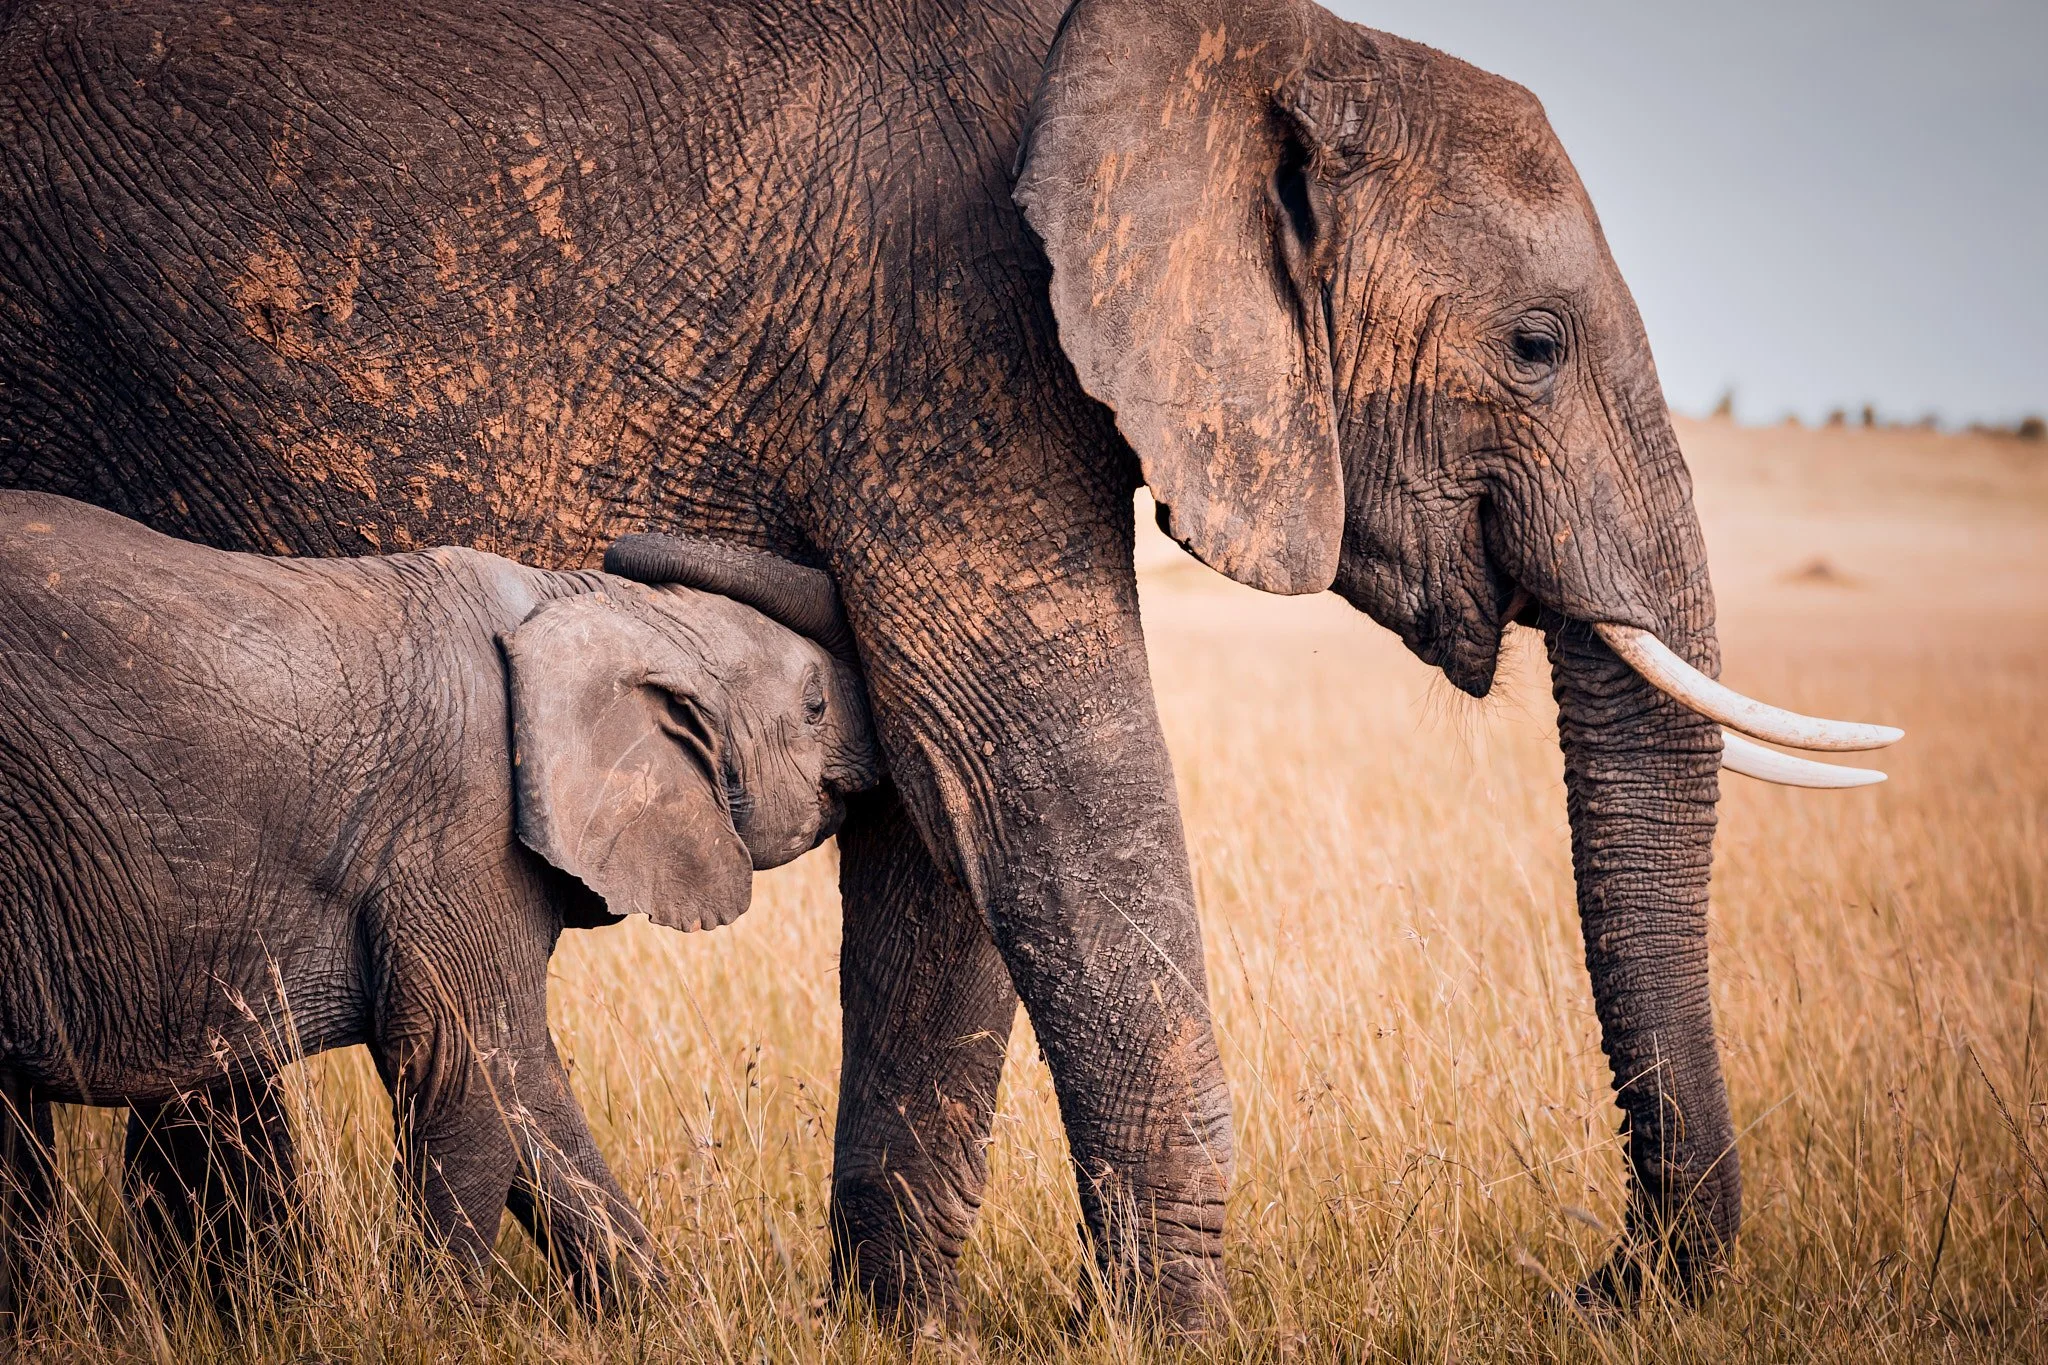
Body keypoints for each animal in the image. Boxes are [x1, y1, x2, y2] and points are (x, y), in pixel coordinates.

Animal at [0, 493, 877, 1313]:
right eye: (813, 705)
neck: (594, 608)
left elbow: (526, 1102)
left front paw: (659, 1321)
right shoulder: (461, 826)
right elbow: (476, 1067)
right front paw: (434, 1325)